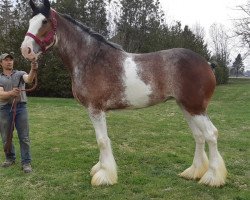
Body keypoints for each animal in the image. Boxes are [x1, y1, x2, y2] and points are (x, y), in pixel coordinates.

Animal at [21, 0, 227, 188]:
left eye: (45, 21)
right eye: (30, 21)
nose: (26, 50)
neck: (91, 60)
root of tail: (206, 63)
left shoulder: (96, 109)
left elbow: (102, 141)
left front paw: (104, 176)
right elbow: (101, 140)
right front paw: (100, 168)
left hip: (196, 108)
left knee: (211, 134)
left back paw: (212, 178)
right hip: (186, 107)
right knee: (199, 136)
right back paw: (194, 172)